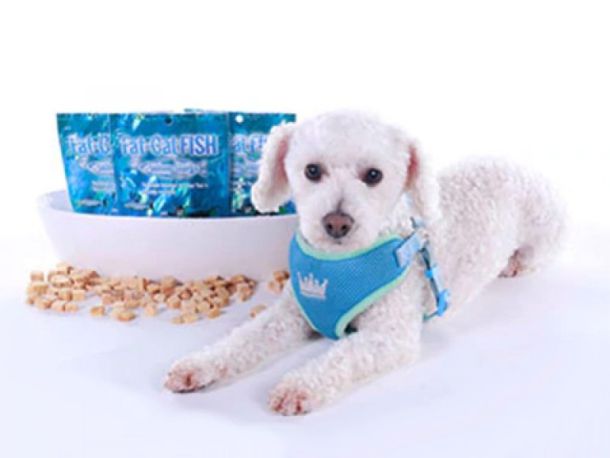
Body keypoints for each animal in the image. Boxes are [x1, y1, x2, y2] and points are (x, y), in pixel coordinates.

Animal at [164, 110, 566, 415]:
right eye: (312, 171)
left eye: (374, 175)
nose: (336, 222)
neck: (339, 263)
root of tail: (517, 164)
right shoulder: (290, 315)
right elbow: (245, 338)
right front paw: (198, 365)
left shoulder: (389, 336)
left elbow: (340, 357)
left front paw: (297, 386)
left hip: (546, 228)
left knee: (538, 254)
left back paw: (516, 263)